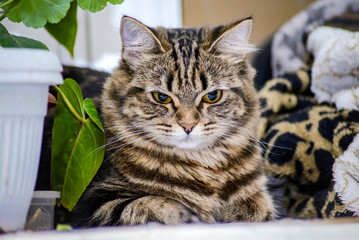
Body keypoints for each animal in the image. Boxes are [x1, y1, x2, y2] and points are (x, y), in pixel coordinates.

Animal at [72, 15, 276, 226]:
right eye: (162, 98)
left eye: (212, 96)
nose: (188, 125)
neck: (202, 168)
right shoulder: (93, 205)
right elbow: (159, 205)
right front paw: (197, 216)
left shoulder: (257, 197)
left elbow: (258, 208)